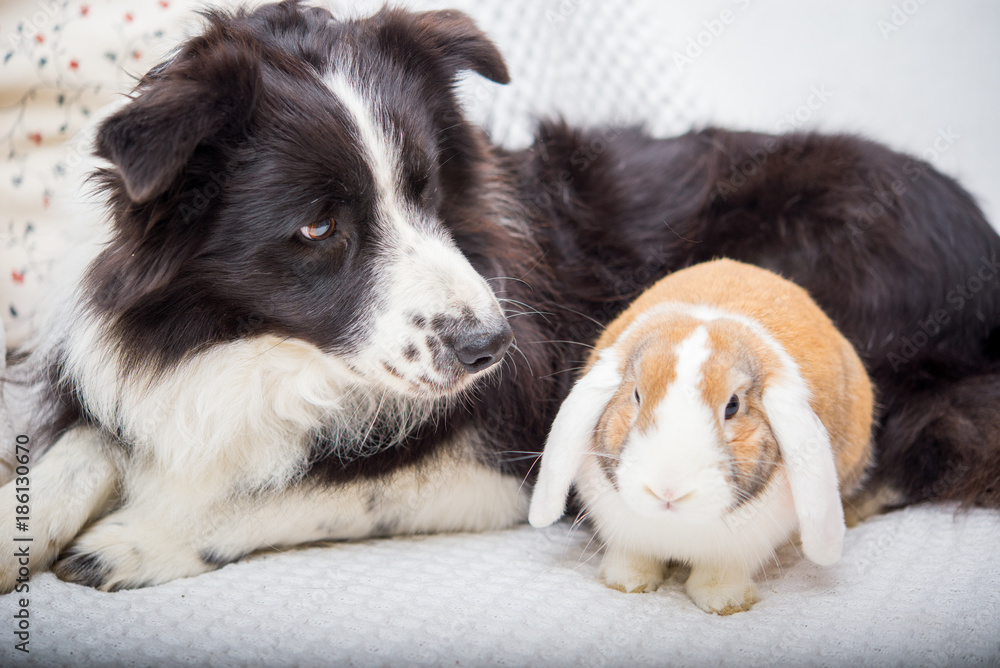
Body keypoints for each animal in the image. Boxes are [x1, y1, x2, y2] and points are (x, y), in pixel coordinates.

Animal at [529, 258, 874, 614]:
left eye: (732, 405)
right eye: (636, 395)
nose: (668, 489)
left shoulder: (740, 549)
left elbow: (723, 572)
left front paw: (724, 601)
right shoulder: (626, 534)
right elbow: (633, 556)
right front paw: (627, 582)